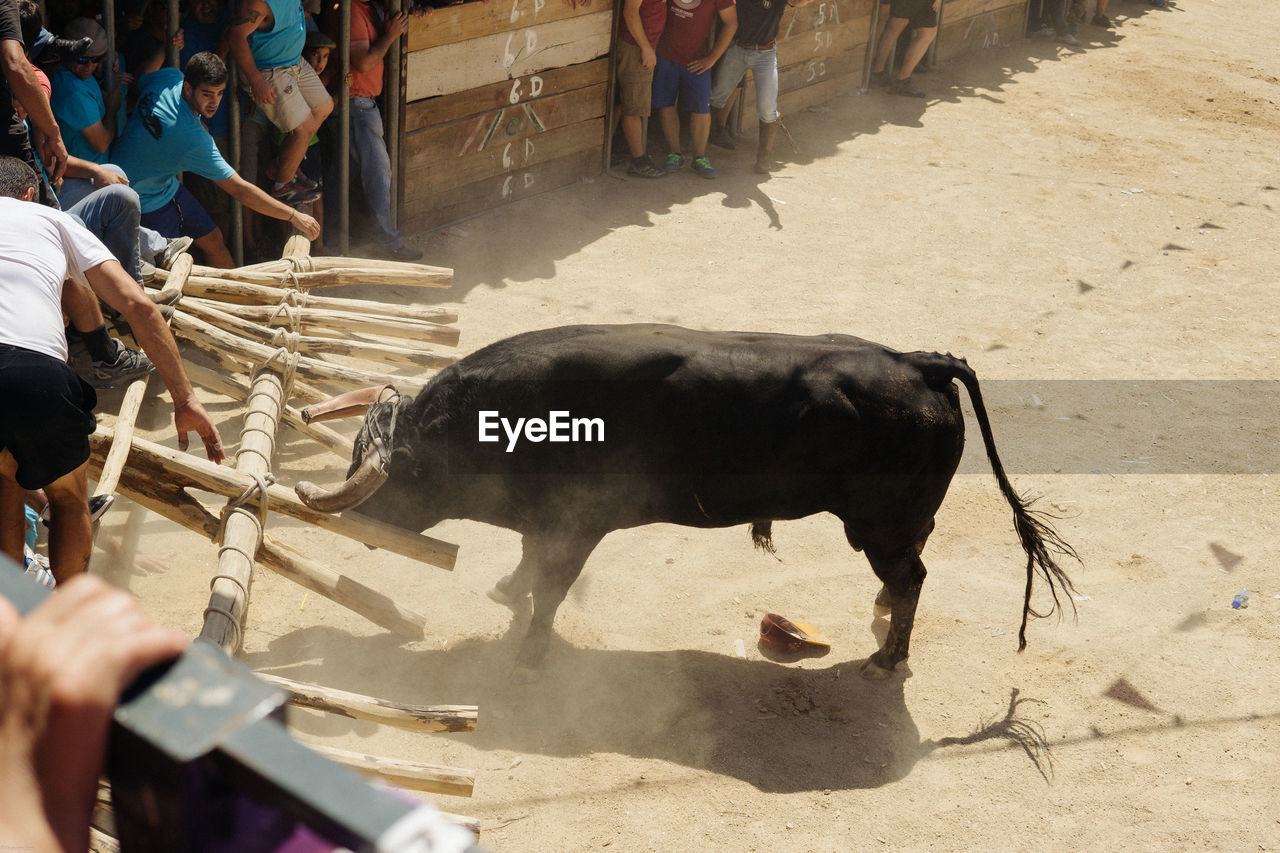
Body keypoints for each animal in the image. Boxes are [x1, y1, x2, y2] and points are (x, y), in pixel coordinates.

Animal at [294, 322, 1075, 681]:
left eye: (403, 478)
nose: (359, 520)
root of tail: (919, 362)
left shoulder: (580, 523)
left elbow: (551, 586)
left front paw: (530, 656)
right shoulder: (548, 519)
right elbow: (527, 565)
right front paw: (505, 593)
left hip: (877, 523)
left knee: (911, 573)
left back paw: (887, 656)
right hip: (900, 518)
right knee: (913, 561)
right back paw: (882, 616)